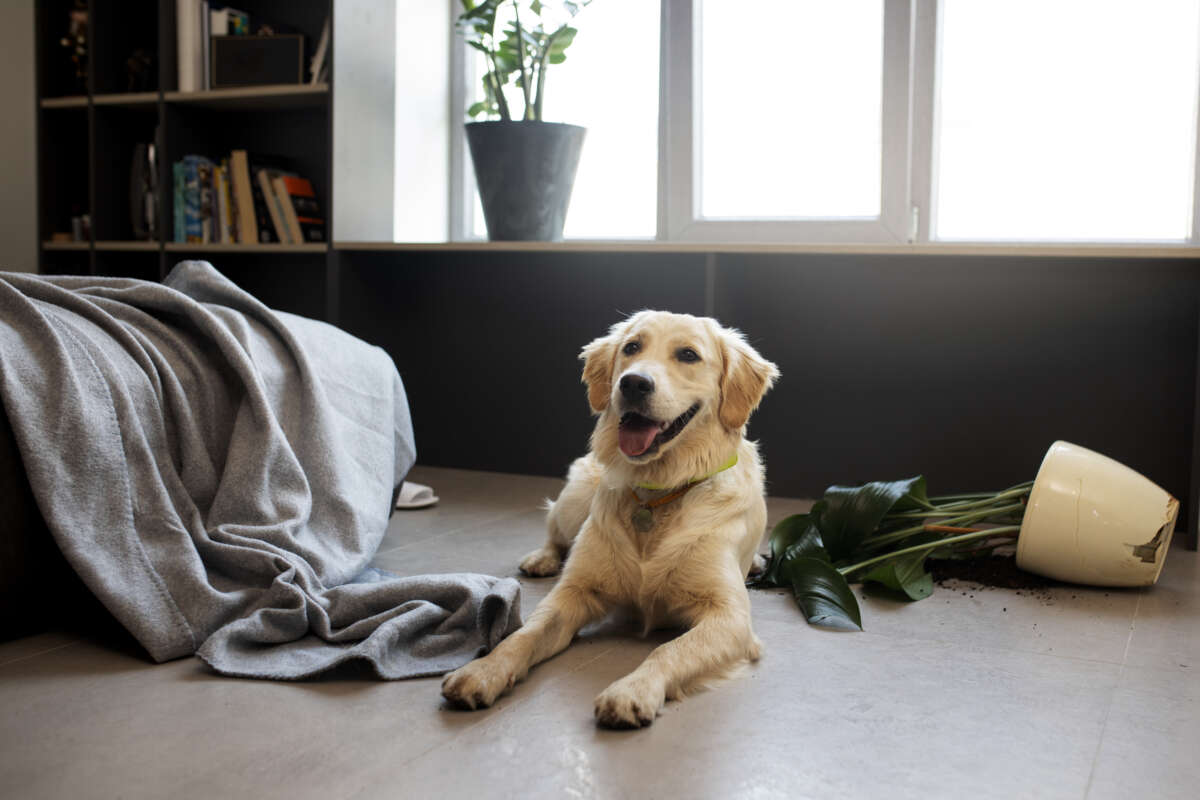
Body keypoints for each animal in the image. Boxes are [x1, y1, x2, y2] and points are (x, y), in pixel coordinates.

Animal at [441, 309, 777, 729]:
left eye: (688, 354)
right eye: (631, 347)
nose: (633, 383)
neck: (658, 491)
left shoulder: (729, 617)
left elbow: (668, 650)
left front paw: (631, 691)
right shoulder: (574, 592)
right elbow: (524, 634)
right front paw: (483, 671)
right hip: (574, 499)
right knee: (554, 531)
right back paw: (542, 558)